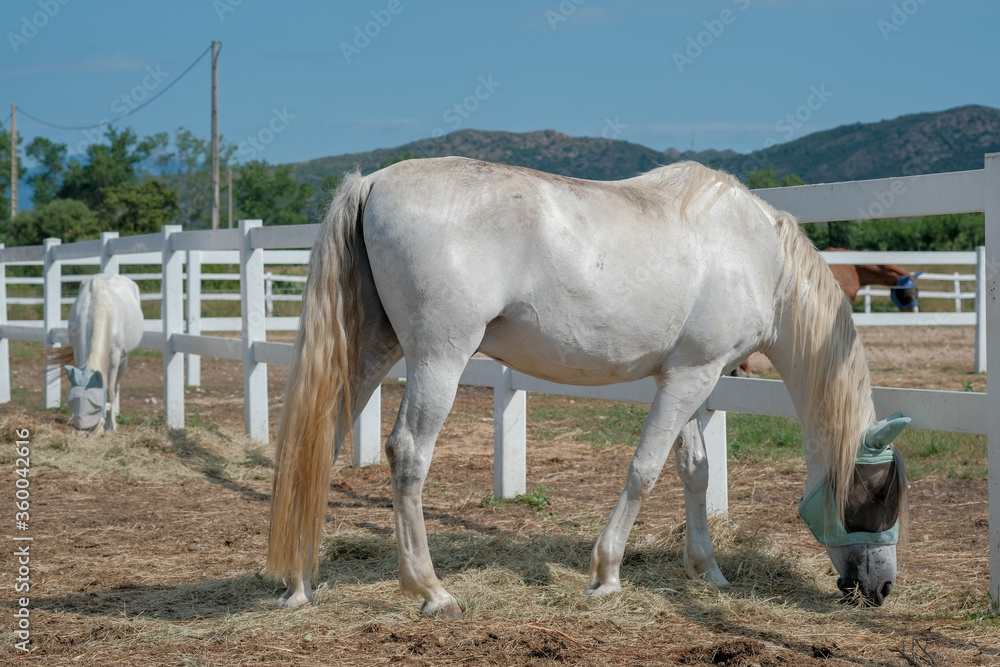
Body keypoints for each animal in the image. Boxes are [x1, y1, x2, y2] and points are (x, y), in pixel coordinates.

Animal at [49, 273, 144, 434]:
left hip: (123, 360)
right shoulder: (77, 353)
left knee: (115, 387)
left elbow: (110, 394)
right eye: (72, 403)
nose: (83, 430)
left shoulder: (114, 359)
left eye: (95, 407)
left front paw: (109, 426)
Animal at [267, 158, 909, 616]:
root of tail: (373, 182)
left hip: (374, 351)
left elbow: (695, 471)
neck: (756, 256)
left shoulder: (693, 379)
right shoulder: (690, 377)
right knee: (407, 455)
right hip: (438, 359)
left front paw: (708, 569)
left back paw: (299, 582)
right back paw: (431, 590)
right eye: (879, 492)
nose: (882, 586)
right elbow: (645, 469)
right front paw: (606, 574)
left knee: (318, 442)